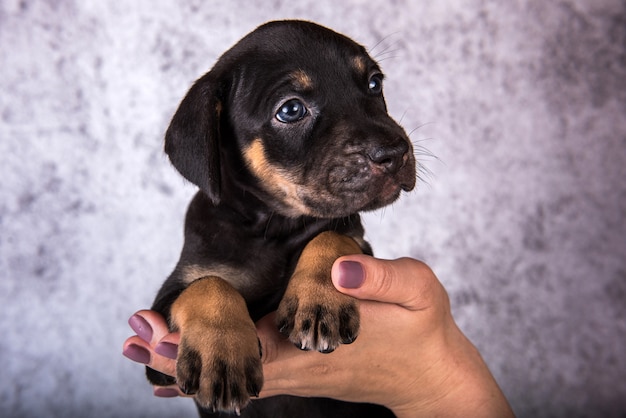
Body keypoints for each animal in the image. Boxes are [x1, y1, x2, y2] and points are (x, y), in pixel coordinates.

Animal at [147, 20, 414, 418]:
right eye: (290, 110)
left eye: (373, 84)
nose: (396, 153)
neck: (274, 226)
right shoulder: (162, 325)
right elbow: (208, 284)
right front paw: (222, 353)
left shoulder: (357, 242)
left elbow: (333, 237)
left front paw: (319, 299)